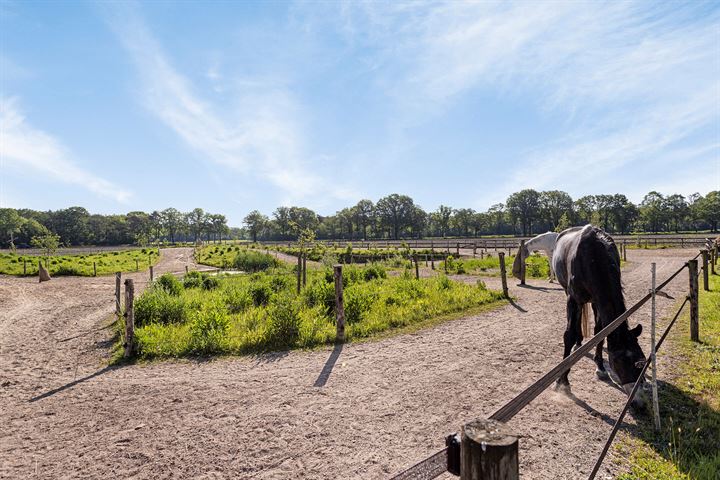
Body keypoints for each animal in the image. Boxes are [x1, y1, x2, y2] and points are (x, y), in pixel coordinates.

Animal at [552, 225, 648, 408]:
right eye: (621, 362)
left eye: (642, 361)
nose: (640, 402)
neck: (593, 256)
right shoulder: (573, 298)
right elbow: (568, 335)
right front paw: (562, 381)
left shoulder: (598, 299)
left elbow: (600, 332)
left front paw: (600, 367)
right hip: (570, 294)